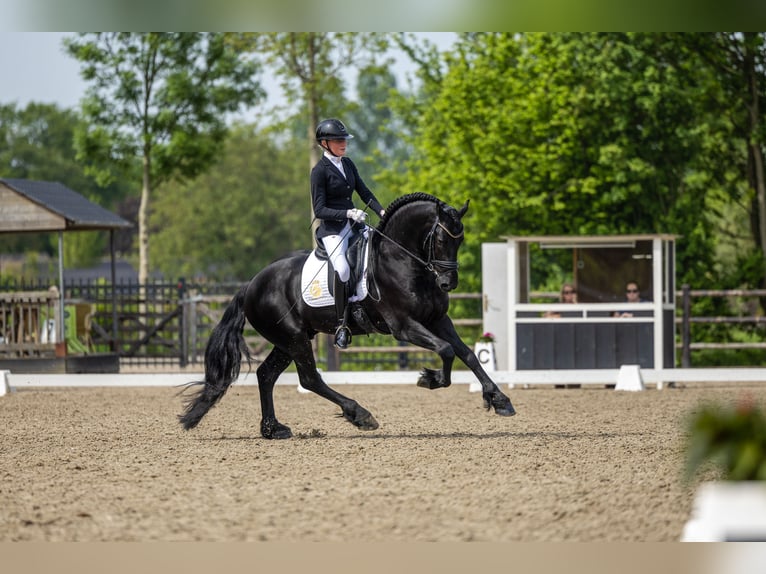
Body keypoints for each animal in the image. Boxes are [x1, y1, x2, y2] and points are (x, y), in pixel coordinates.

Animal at [179, 191, 516, 438]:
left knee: (266, 375)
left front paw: (499, 399)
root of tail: (251, 284)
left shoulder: (437, 320)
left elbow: (467, 354)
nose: (448, 283)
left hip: (289, 340)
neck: (402, 260)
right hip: (294, 338)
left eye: (461, 239)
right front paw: (429, 379)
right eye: (442, 239)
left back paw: (273, 430)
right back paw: (360, 414)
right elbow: (446, 351)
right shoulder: (403, 326)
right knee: (310, 378)